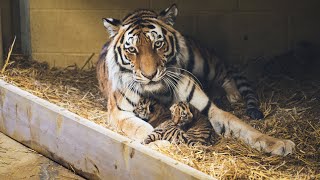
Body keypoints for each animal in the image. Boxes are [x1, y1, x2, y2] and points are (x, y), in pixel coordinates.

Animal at [97, 4, 296, 156]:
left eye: (158, 44)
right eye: (132, 50)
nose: (150, 75)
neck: (159, 91)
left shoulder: (209, 109)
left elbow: (242, 125)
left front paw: (279, 143)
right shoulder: (120, 113)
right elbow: (142, 128)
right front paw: (160, 144)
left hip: (203, 62)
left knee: (225, 73)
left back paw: (234, 96)